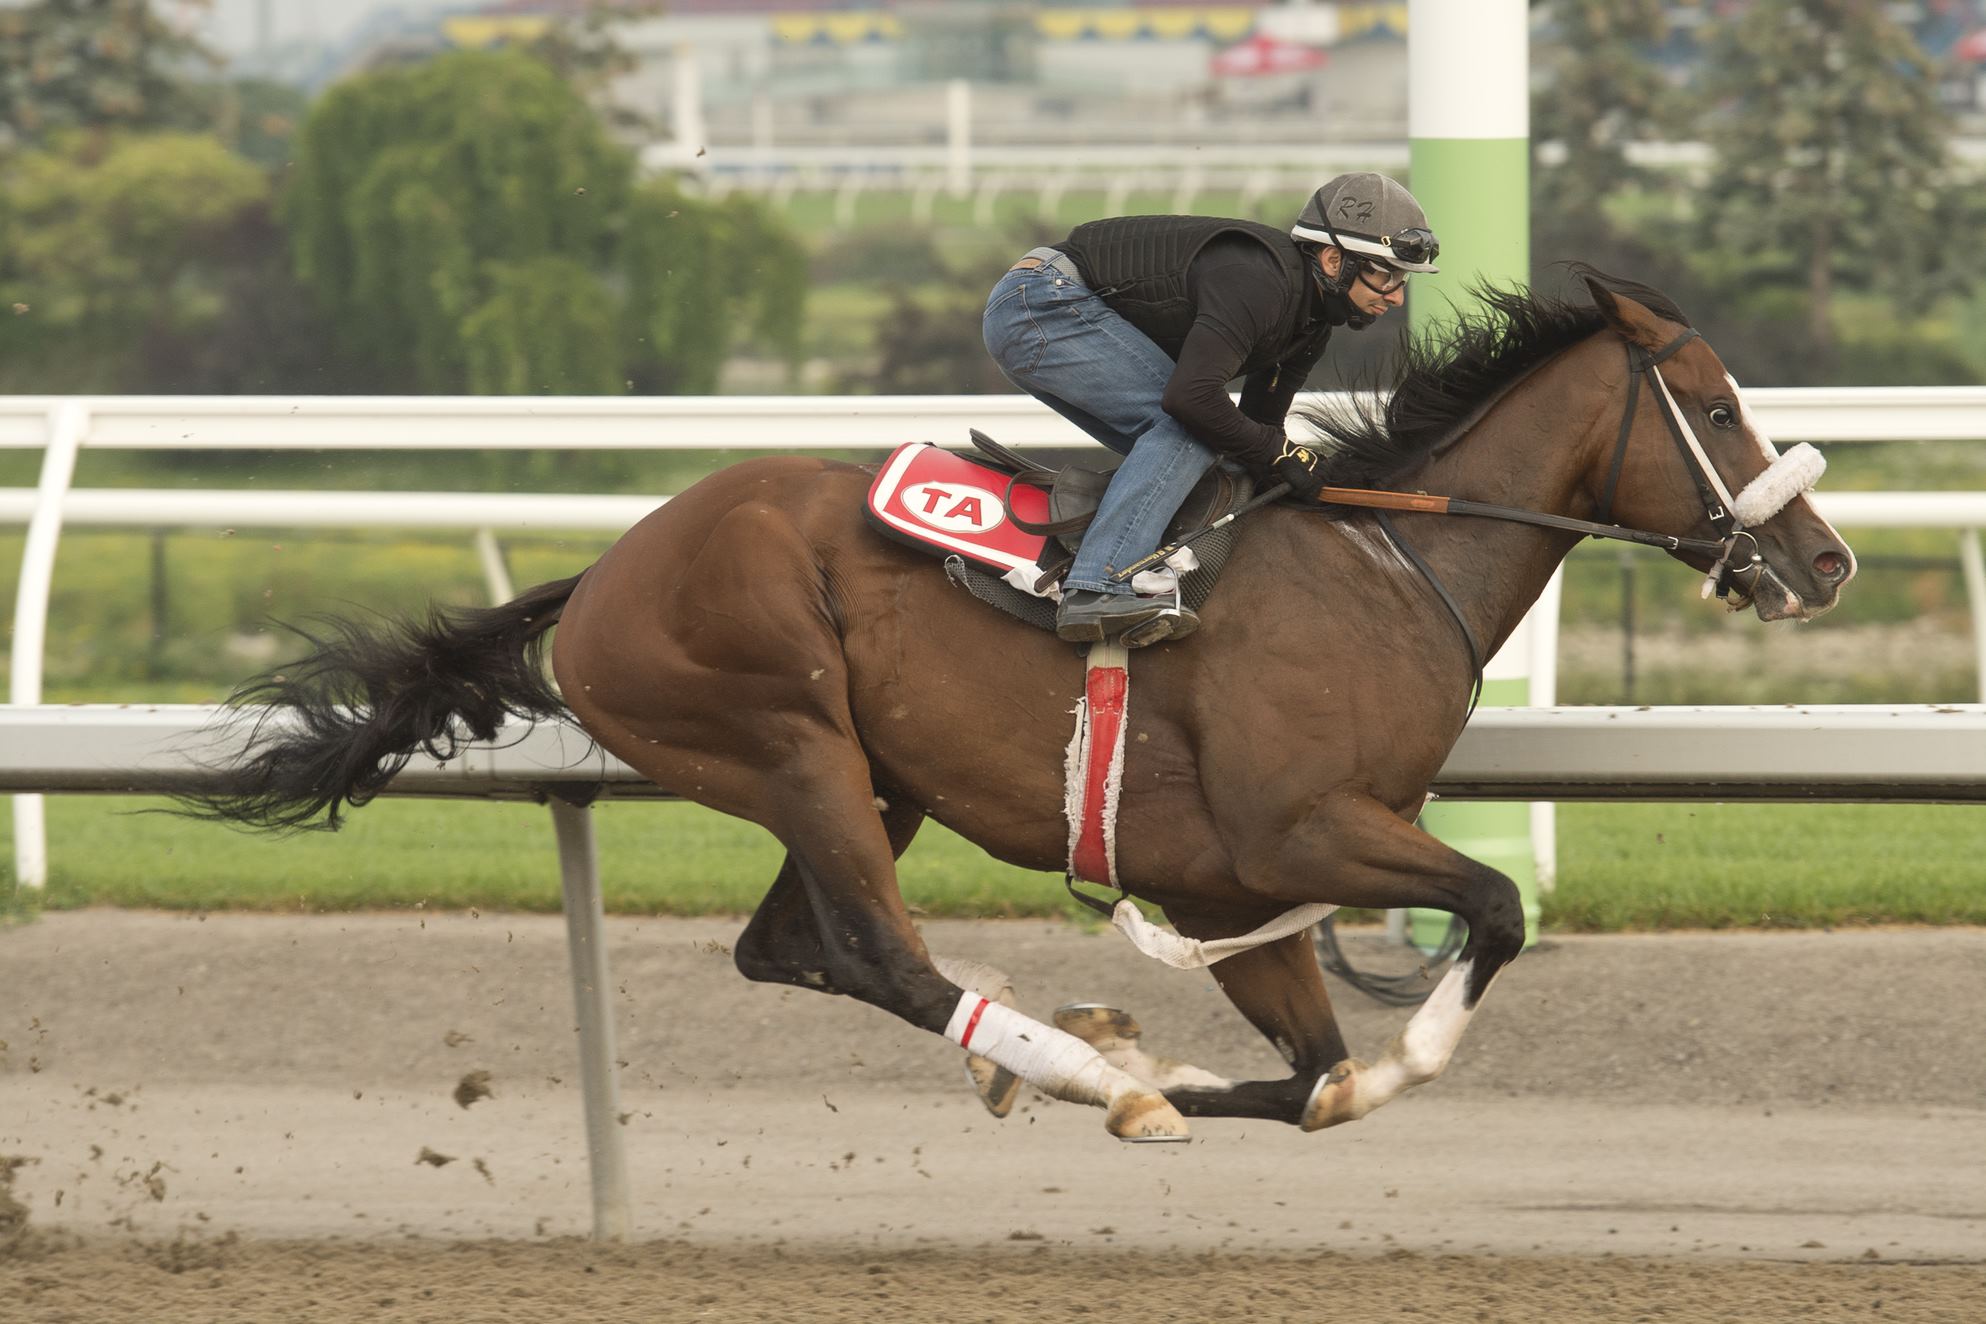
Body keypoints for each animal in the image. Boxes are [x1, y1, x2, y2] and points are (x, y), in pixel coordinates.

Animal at [186, 269, 1854, 1143]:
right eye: (1715, 409)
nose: (1822, 560)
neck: (1389, 563)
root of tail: (601, 572)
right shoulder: (1299, 829)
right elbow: (1485, 918)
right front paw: (1254, 1066)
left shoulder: (1223, 877)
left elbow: (1309, 1080)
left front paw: (1166, 1066)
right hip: (787, 736)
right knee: (872, 949)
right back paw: (1065, 1064)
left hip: (871, 778)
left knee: (792, 950)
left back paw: (1062, 1059)